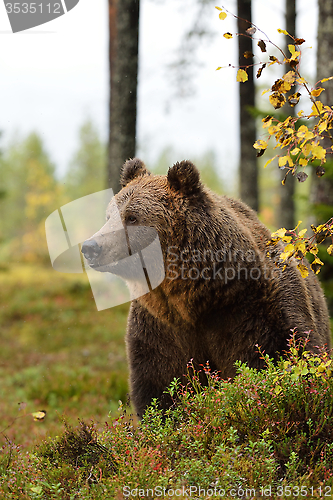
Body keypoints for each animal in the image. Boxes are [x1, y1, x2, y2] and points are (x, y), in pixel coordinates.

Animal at [82, 159, 330, 418]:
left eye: (131, 217)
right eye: (108, 215)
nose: (90, 247)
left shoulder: (256, 311)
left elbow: (286, 356)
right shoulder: (159, 328)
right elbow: (159, 386)